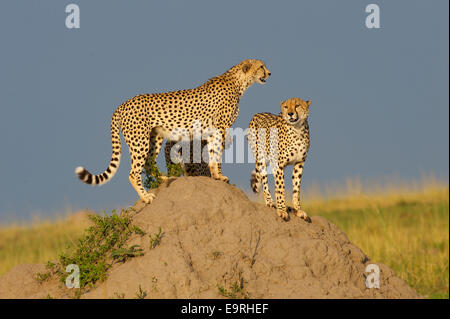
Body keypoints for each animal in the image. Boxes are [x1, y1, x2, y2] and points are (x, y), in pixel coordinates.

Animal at [75, 58, 270, 204]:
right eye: (261, 66)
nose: (269, 73)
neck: (238, 82)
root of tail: (123, 104)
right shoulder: (221, 128)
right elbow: (217, 154)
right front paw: (220, 176)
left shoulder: (212, 131)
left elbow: (212, 154)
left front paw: (215, 175)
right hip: (139, 141)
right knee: (133, 173)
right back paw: (146, 197)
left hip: (154, 137)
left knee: (149, 163)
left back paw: (163, 179)